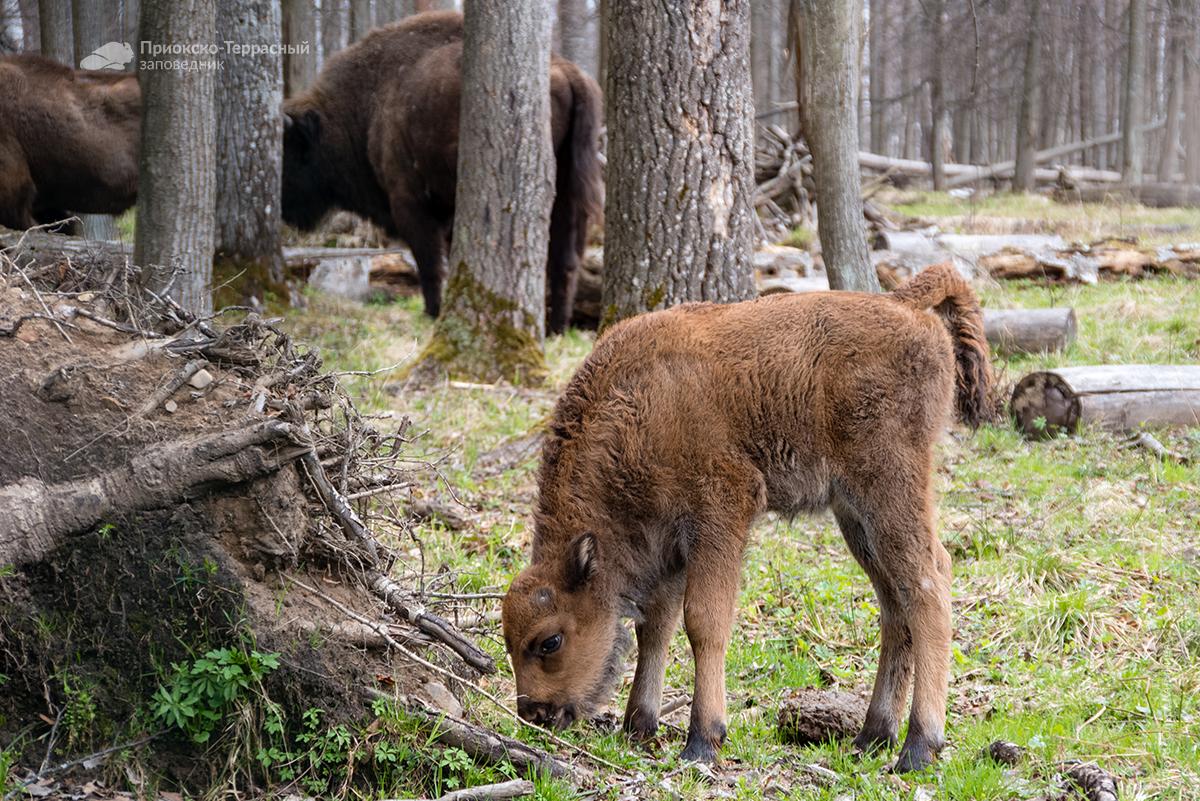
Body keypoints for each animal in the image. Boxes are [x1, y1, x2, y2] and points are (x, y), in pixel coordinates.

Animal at [279, 12, 600, 330]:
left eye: (290, 154)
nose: (283, 209)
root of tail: (568, 70)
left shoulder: (410, 203)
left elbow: (430, 262)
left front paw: (433, 311)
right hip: (571, 192)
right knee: (566, 260)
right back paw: (557, 328)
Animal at [499, 266, 993, 772]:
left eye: (549, 641)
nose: (535, 713)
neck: (637, 403)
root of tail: (905, 305)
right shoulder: (668, 545)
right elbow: (655, 627)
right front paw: (639, 725)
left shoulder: (718, 516)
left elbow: (703, 622)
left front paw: (703, 740)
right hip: (857, 516)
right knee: (896, 606)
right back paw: (873, 735)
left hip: (889, 488)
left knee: (929, 587)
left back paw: (918, 747)